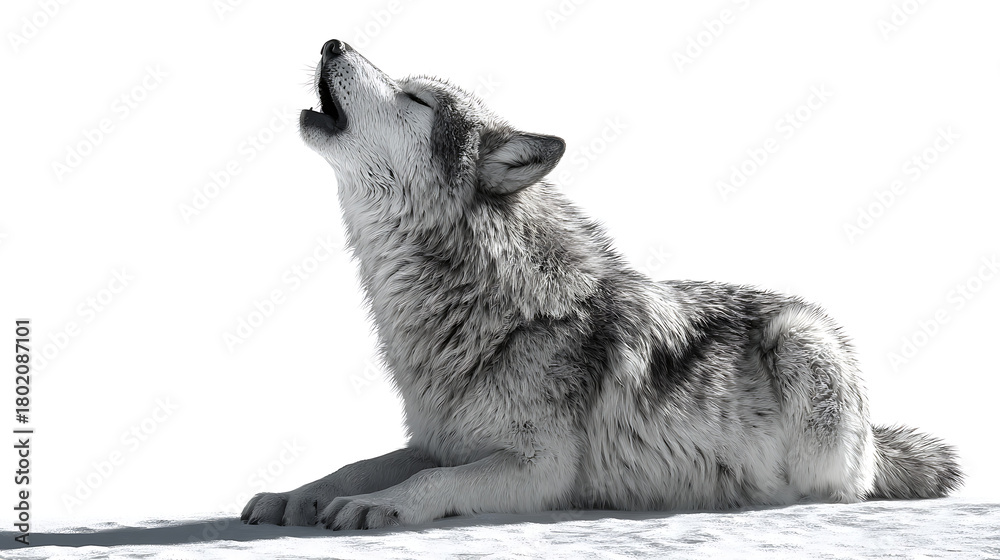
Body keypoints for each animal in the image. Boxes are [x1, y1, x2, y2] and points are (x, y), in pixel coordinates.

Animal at [241, 39, 963, 530]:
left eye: (415, 98)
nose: (333, 42)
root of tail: (874, 437)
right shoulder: (439, 441)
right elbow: (359, 464)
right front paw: (296, 495)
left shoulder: (538, 470)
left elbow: (430, 485)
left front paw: (374, 507)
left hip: (800, 342)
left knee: (835, 490)